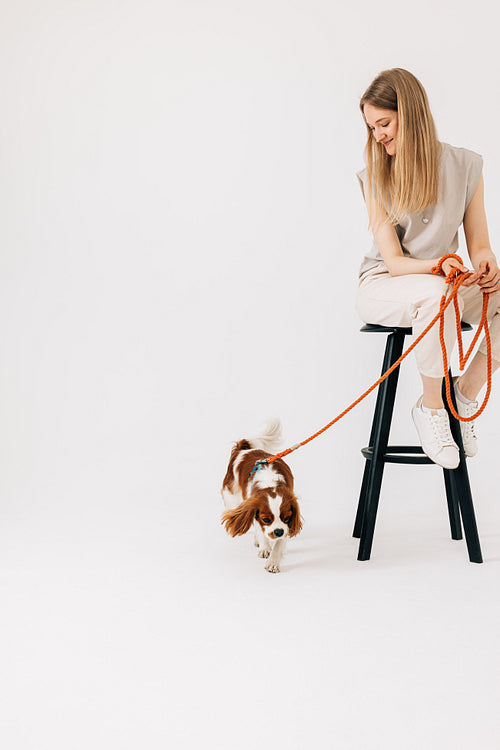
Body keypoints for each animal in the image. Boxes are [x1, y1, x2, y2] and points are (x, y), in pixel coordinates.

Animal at [222, 420, 300, 572]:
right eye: (266, 519)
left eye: (287, 518)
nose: (278, 532)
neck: (270, 483)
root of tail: (243, 449)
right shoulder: (252, 505)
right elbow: (259, 529)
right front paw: (265, 548)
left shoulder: (286, 525)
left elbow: (279, 544)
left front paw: (273, 561)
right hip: (233, 498)